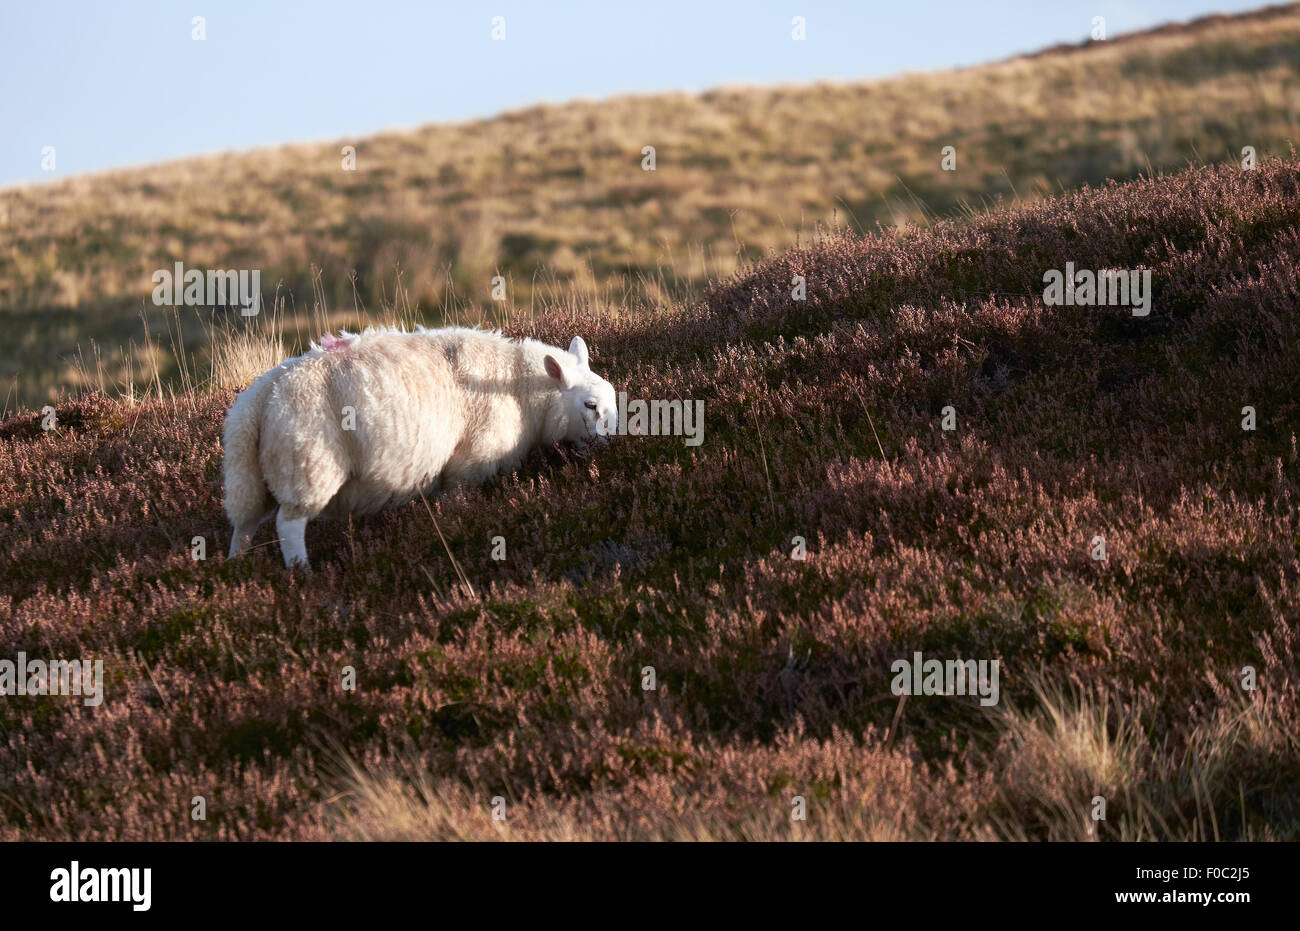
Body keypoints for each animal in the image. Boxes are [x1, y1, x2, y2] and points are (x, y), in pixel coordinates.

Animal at [224, 327, 618, 566]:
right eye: (590, 405)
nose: (611, 448)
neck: (520, 388)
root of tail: (261, 397)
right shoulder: (466, 466)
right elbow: (459, 504)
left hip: (255, 476)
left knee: (244, 525)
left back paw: (235, 567)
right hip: (306, 466)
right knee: (288, 526)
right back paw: (301, 573)